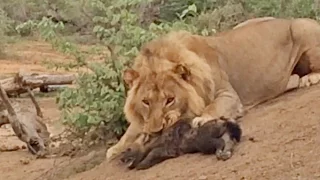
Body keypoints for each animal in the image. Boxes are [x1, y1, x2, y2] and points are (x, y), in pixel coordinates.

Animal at [107, 17, 320, 159]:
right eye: (145, 102)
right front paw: (116, 148)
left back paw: (308, 78)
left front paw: (202, 119)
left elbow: (213, 107)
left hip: (301, 28)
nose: (156, 131)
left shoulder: (228, 94)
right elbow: (132, 129)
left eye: (170, 100)